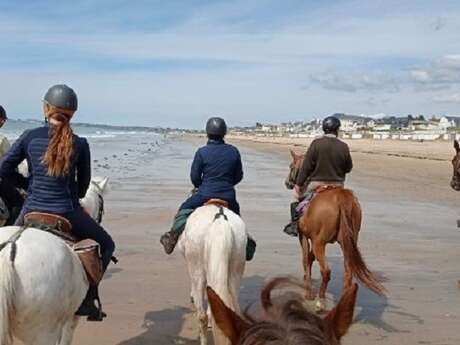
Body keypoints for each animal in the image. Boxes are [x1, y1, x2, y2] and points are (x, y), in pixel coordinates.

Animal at [284, 149, 384, 310]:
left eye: (291, 166)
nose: (287, 182)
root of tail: (341, 197)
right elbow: (310, 258)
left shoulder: (304, 237)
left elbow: (305, 259)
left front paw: (308, 292)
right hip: (346, 243)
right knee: (348, 272)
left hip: (319, 243)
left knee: (326, 271)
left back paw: (320, 301)